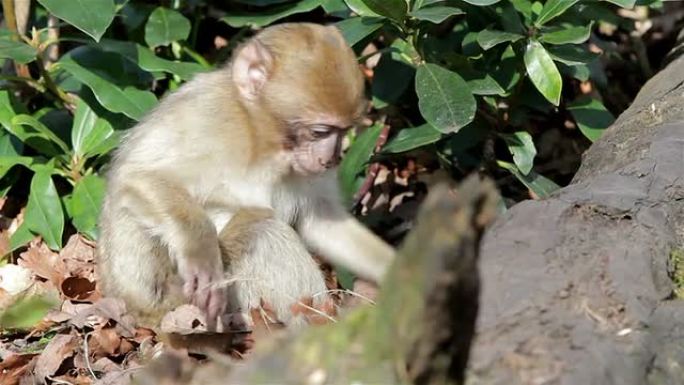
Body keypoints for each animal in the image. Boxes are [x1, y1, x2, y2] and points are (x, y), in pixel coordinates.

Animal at [97, 22, 396, 328]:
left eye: (343, 131)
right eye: (320, 132)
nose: (330, 159)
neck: (260, 140)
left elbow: (321, 221)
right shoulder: (207, 118)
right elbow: (138, 176)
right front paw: (200, 254)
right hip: (180, 301)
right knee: (262, 228)